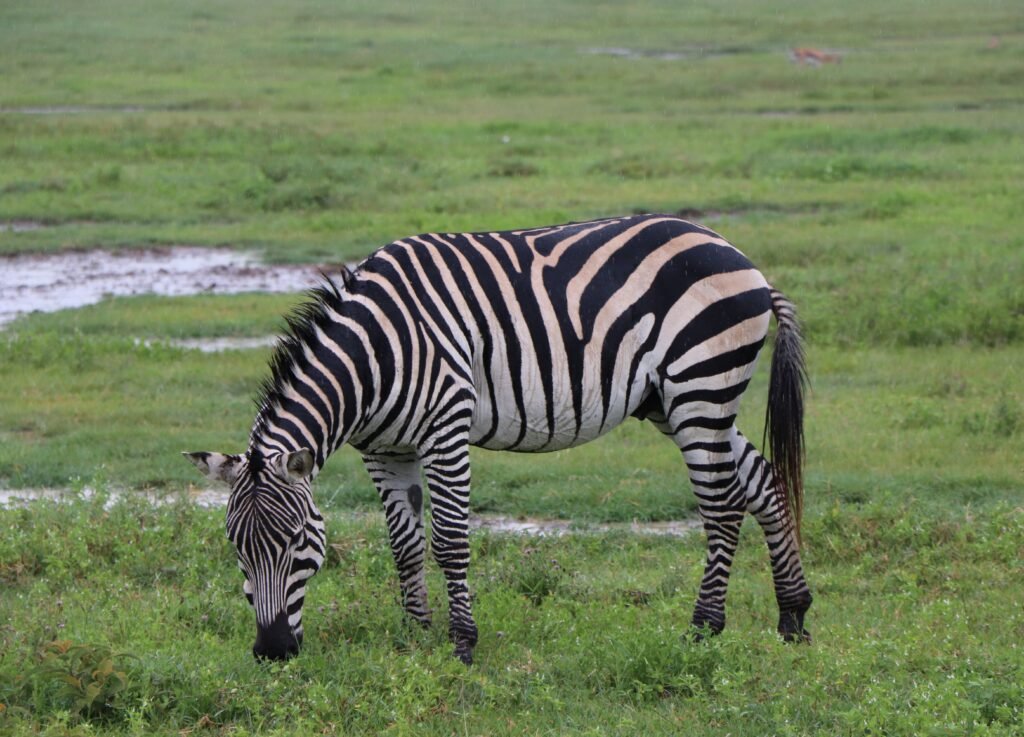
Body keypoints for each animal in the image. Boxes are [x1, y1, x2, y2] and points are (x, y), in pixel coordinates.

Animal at [185, 213, 812, 664]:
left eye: (297, 542)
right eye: (236, 546)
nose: (272, 653)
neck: (373, 356)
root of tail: (740, 257)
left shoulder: (445, 429)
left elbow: (449, 541)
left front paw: (463, 643)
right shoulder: (384, 450)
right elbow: (405, 544)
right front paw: (416, 634)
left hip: (700, 384)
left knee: (722, 505)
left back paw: (704, 629)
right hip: (676, 401)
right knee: (761, 480)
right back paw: (793, 616)